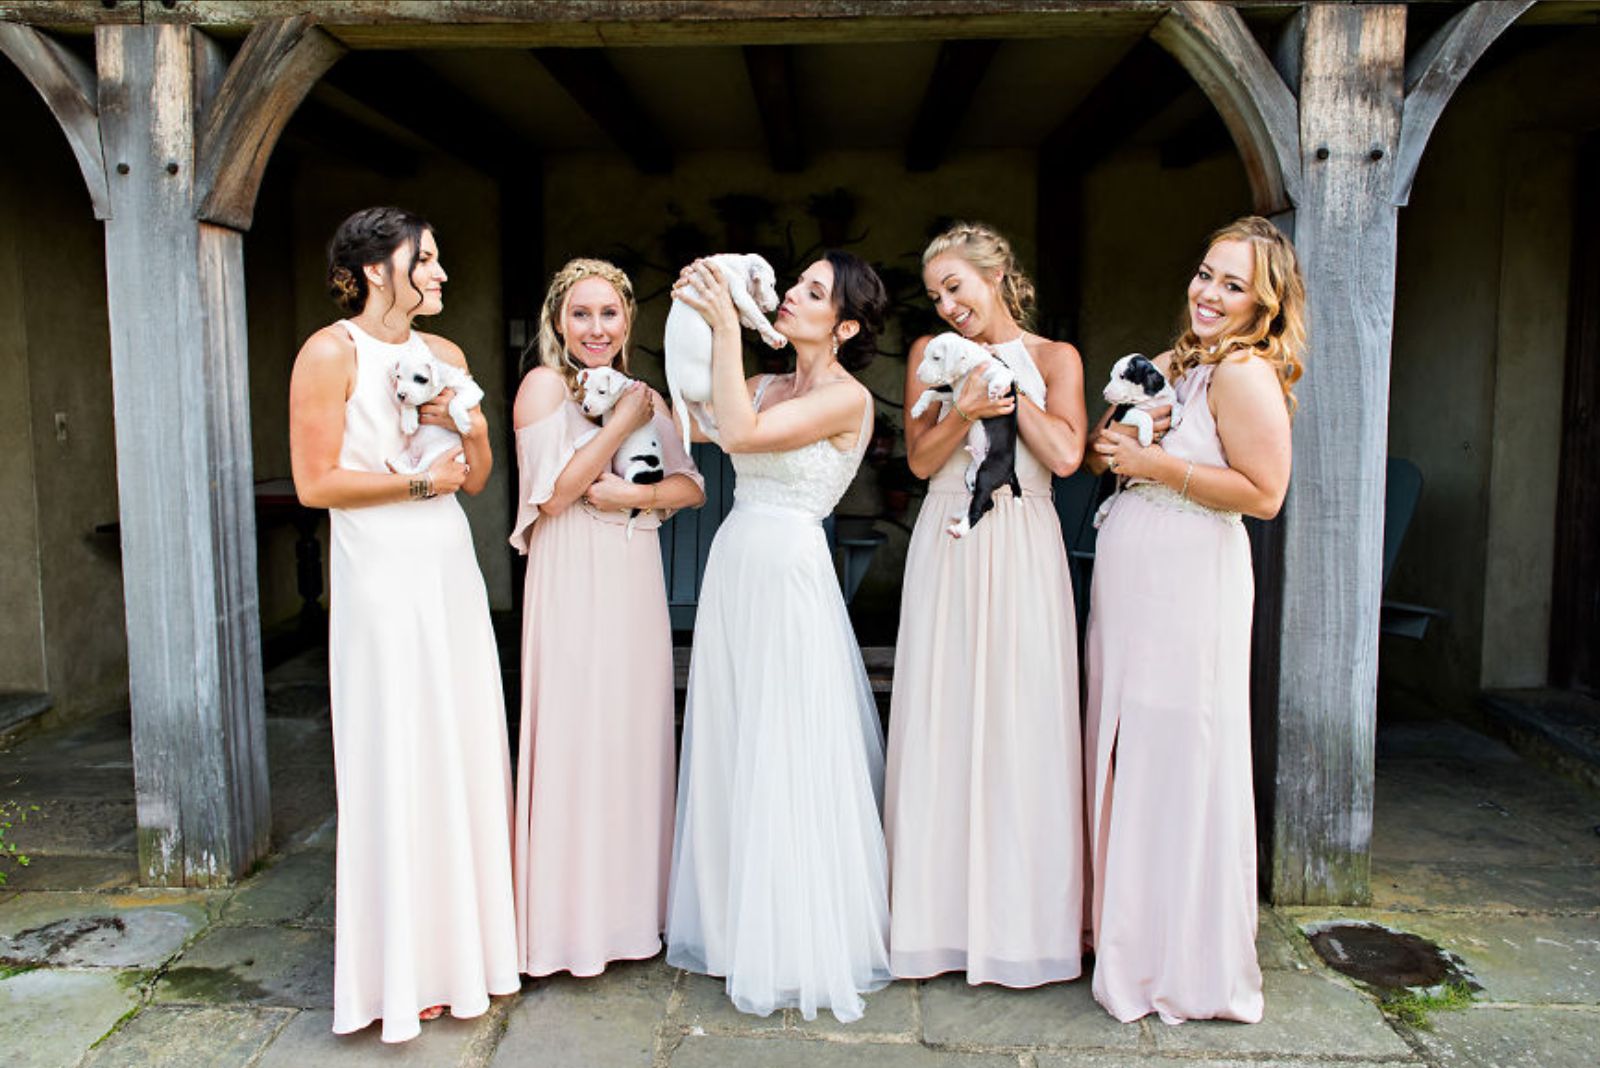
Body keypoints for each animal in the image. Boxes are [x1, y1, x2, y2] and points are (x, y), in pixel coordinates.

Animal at [579, 367, 665, 537]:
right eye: (585, 389)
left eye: (602, 392)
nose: (585, 407)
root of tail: (658, 476)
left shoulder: (614, 425)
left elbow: (598, 431)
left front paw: (580, 440)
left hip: (636, 470)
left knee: (628, 502)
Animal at [662, 252, 787, 454]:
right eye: (771, 285)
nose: (778, 303)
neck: (739, 264)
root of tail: (673, 383)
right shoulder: (739, 291)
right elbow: (758, 316)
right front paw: (775, 336)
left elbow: (749, 315)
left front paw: (758, 330)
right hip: (711, 386)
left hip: (693, 403)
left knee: (706, 425)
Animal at [908, 330, 1017, 537]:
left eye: (936, 358)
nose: (917, 375)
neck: (967, 369)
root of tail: (1011, 472)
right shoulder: (953, 394)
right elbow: (930, 392)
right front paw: (918, 408)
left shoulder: (998, 369)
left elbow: (1003, 373)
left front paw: (995, 388)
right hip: (971, 475)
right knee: (986, 504)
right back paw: (960, 516)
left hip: (988, 474)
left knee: (980, 507)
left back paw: (960, 529)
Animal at [1094, 354, 1184, 530]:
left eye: (1122, 376)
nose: (1104, 393)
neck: (1150, 399)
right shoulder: (1122, 413)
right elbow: (1144, 415)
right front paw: (1145, 438)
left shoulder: (1168, 401)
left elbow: (1177, 404)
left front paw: (1176, 418)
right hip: (1110, 477)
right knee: (1108, 497)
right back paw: (1102, 512)